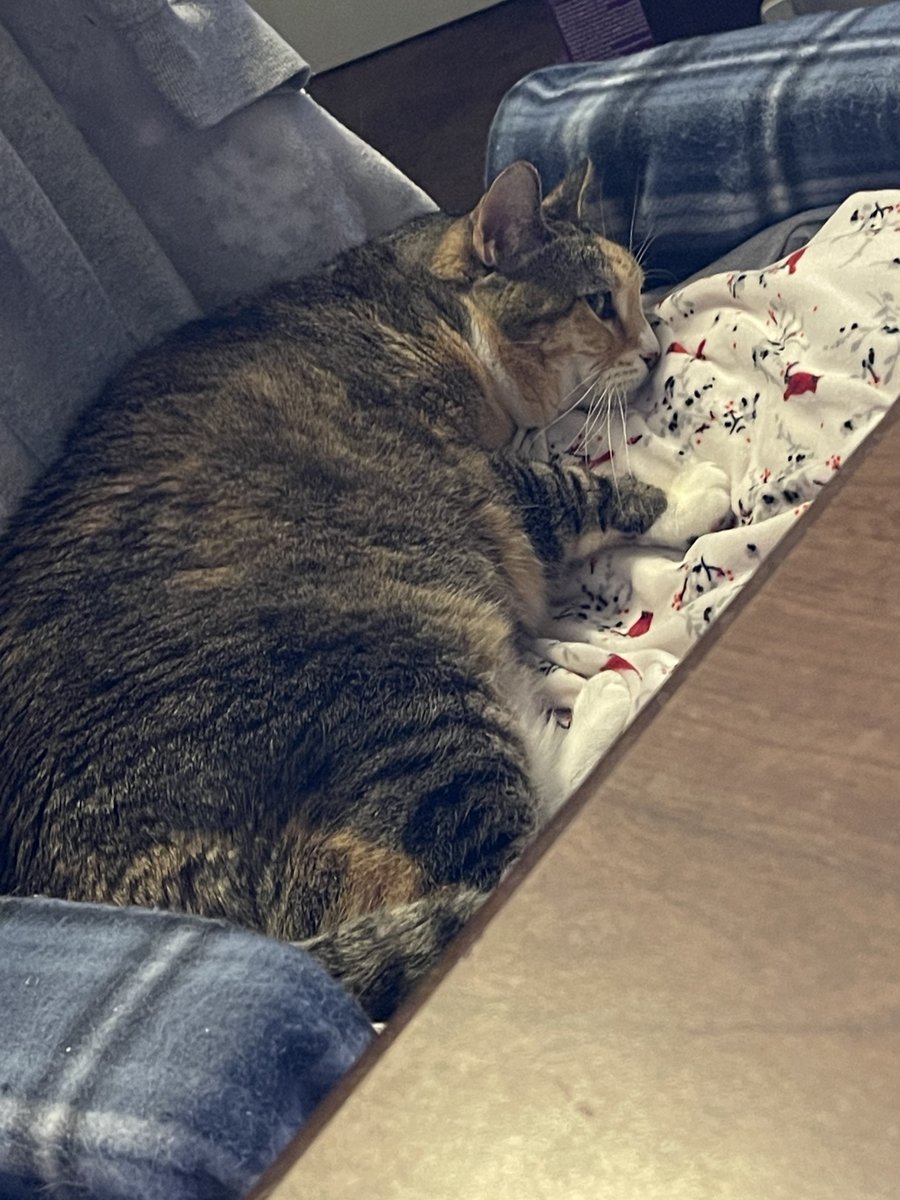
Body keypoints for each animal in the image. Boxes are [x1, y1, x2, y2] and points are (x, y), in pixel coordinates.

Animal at [0, 162, 672, 1022]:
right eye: (598, 302)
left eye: (640, 292)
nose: (656, 349)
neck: (424, 308)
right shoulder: (479, 477)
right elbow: (572, 491)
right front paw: (692, 492)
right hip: (405, 694)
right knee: (508, 868)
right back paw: (614, 701)